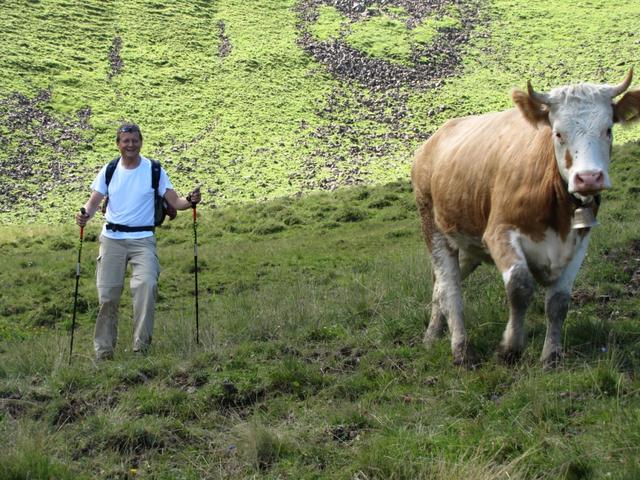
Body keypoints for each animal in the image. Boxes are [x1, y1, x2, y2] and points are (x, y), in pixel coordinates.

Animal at [410, 69, 640, 368]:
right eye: (558, 133)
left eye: (608, 130)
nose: (589, 178)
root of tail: (431, 143)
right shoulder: (499, 232)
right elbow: (520, 287)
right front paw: (510, 348)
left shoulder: (580, 241)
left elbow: (559, 302)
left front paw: (551, 355)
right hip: (434, 227)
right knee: (449, 286)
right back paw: (461, 350)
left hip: (468, 242)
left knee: (440, 284)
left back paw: (431, 336)